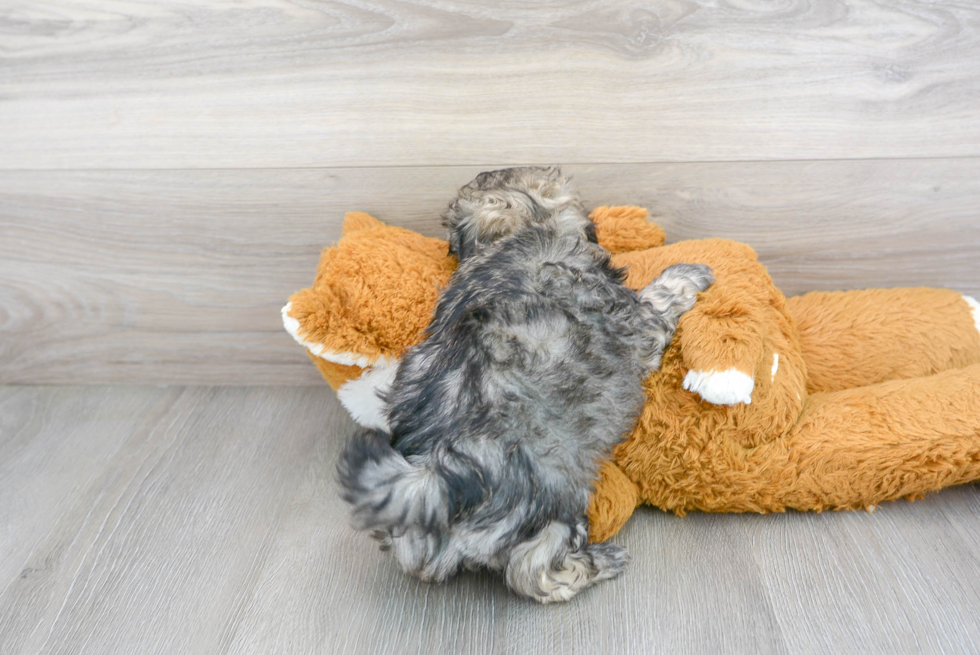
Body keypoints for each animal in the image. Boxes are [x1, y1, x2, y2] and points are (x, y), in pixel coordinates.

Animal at [336, 167, 712, 604]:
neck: (511, 238)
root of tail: (434, 478)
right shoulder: (637, 322)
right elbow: (659, 298)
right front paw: (690, 274)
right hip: (550, 501)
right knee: (534, 571)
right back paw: (598, 562)